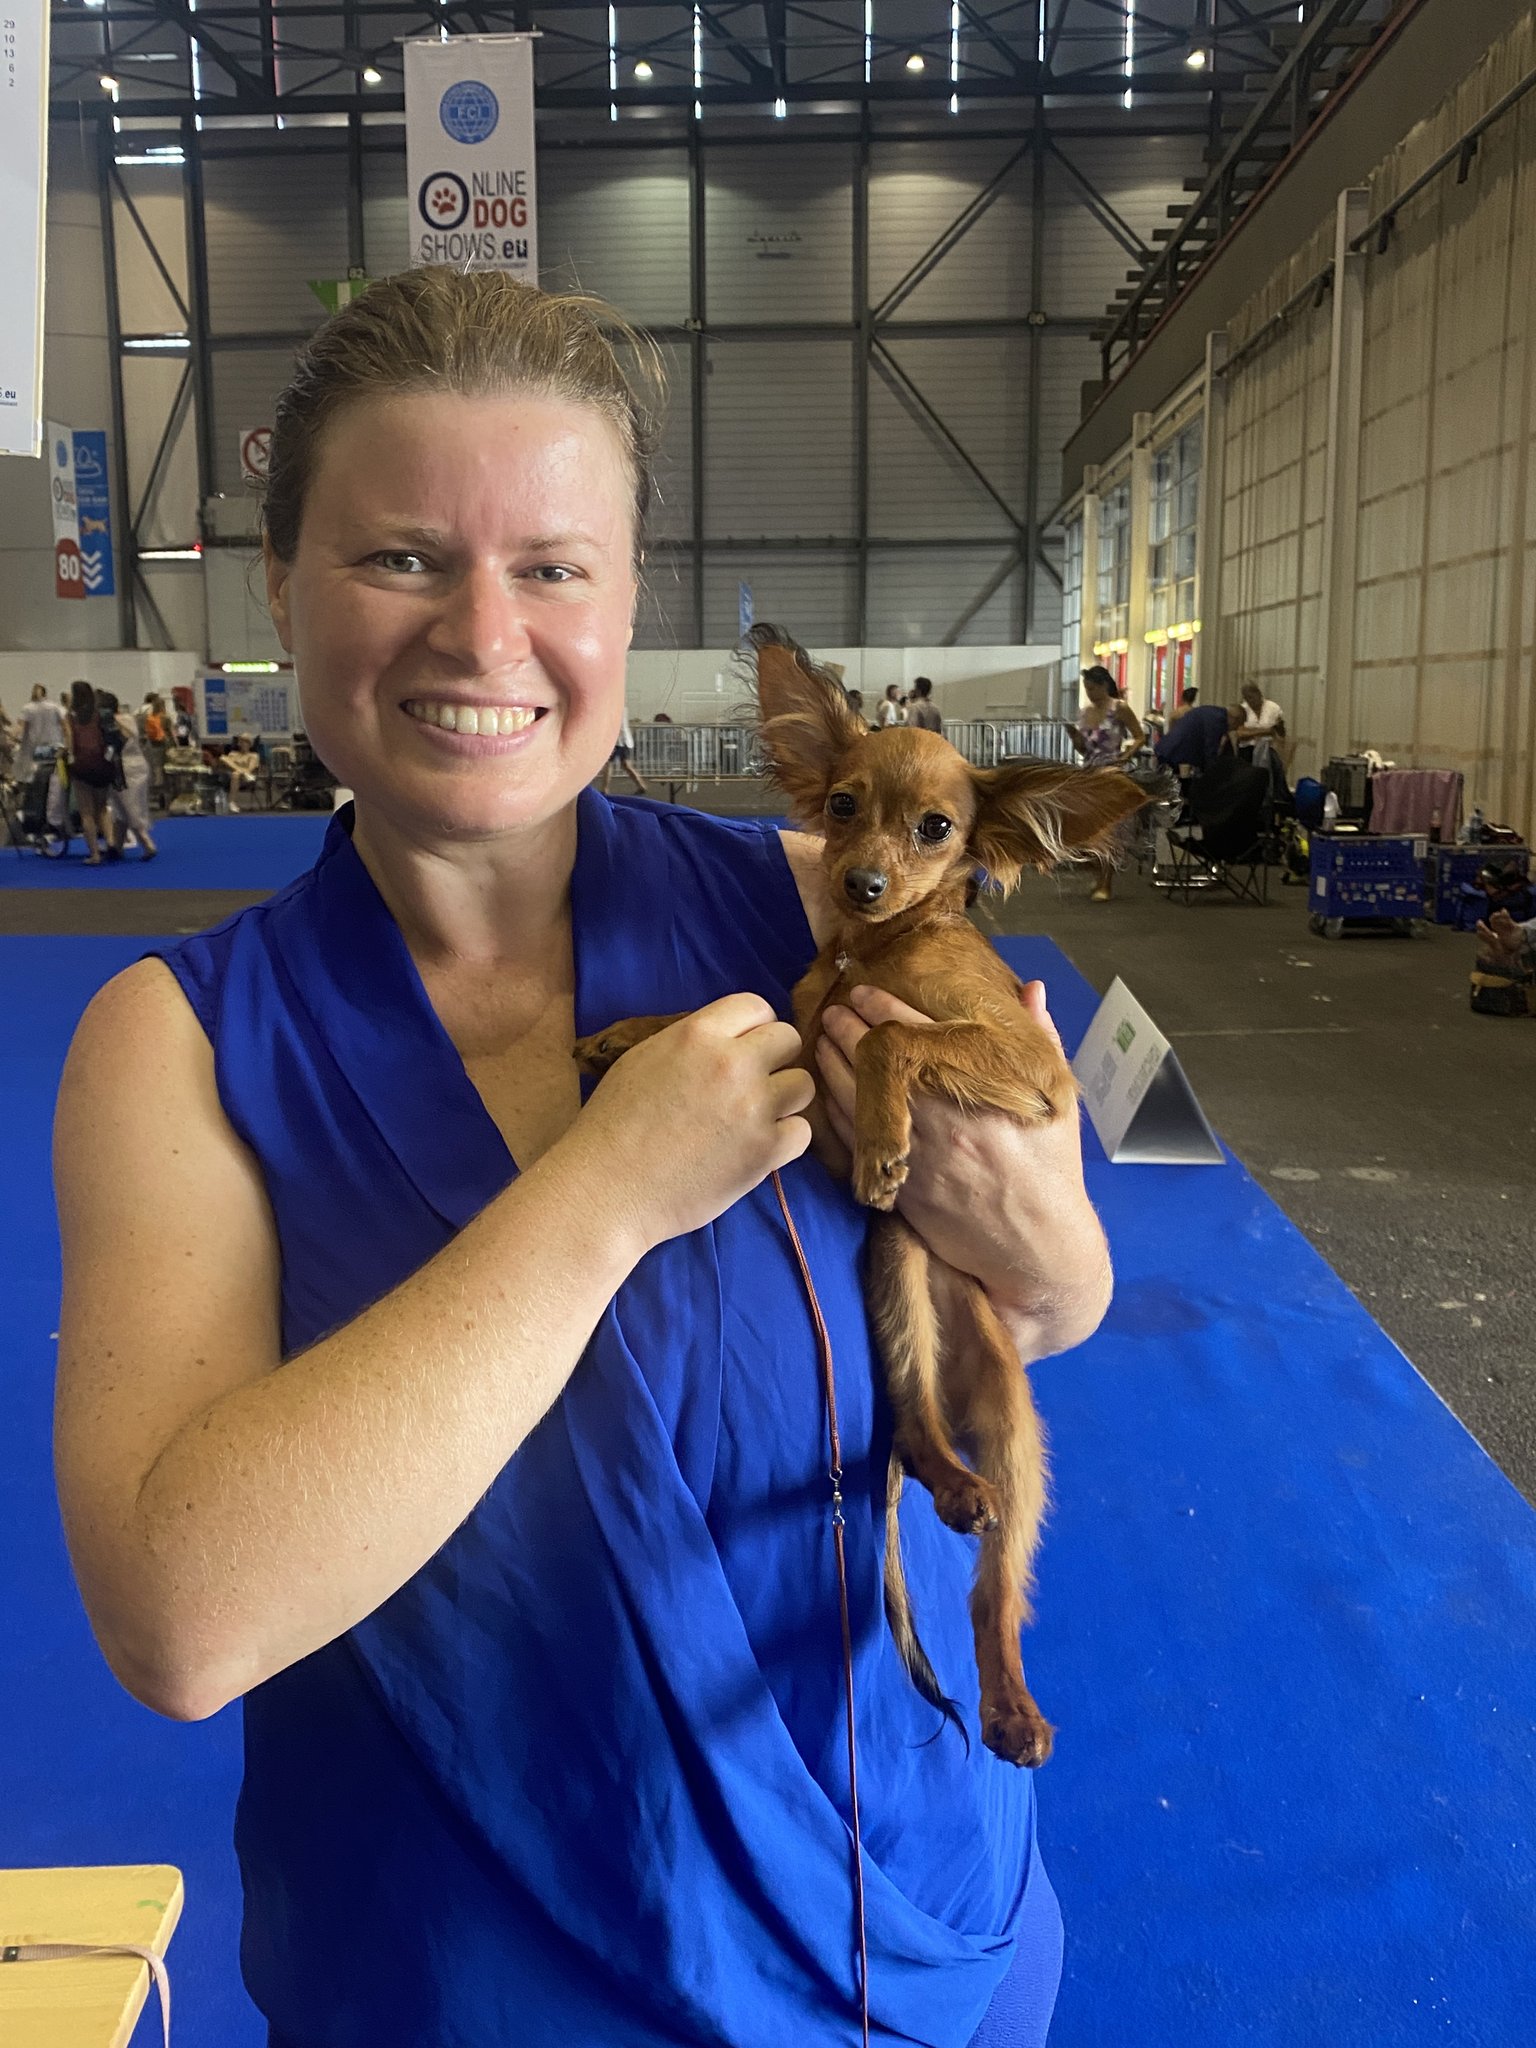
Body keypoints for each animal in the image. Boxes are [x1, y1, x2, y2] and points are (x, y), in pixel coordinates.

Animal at [576, 625, 1146, 1765]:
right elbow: (721, 1009)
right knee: (916, 1431)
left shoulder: (1032, 1067)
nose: (866, 881)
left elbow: (890, 1037)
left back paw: (1012, 1702)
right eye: (841, 805)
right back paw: (951, 1483)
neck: (872, 950)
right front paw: (625, 1034)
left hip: (1016, 1428)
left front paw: (886, 1136)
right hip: (895, 1272)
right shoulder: (797, 1041)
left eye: (937, 828)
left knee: (992, 1594)